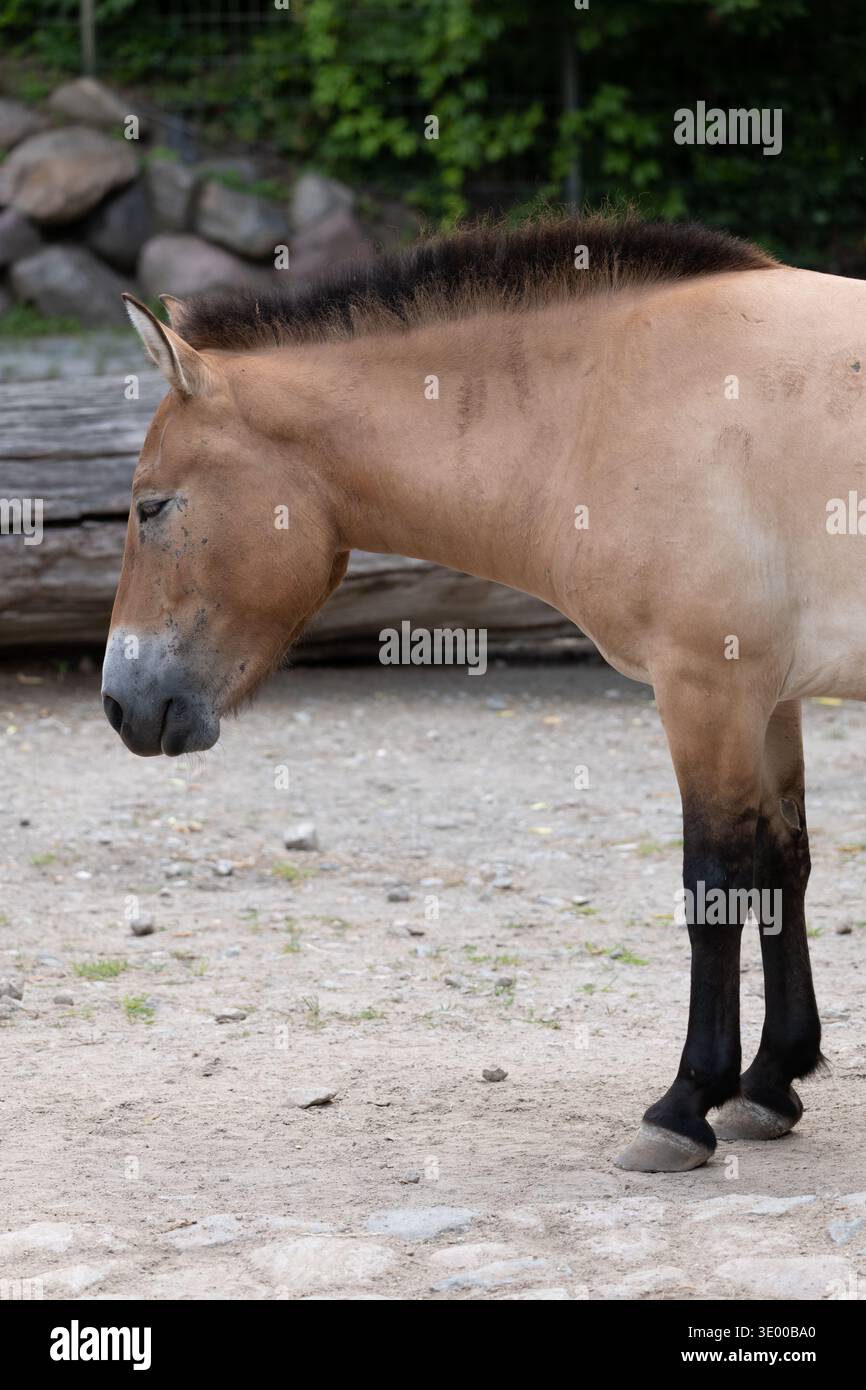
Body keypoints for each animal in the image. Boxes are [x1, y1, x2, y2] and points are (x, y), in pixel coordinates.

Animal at [102, 213, 866, 1173]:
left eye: (152, 506)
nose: (120, 702)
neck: (606, 405)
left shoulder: (706, 688)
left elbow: (715, 882)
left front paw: (684, 1105)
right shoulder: (767, 699)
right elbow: (781, 866)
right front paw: (771, 1083)